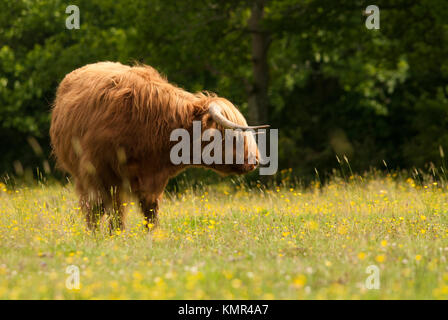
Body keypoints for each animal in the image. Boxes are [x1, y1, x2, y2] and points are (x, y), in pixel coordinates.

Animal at [50, 60, 266, 230]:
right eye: (232, 136)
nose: (255, 160)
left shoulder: (153, 181)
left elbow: (149, 213)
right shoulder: (97, 174)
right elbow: (98, 210)